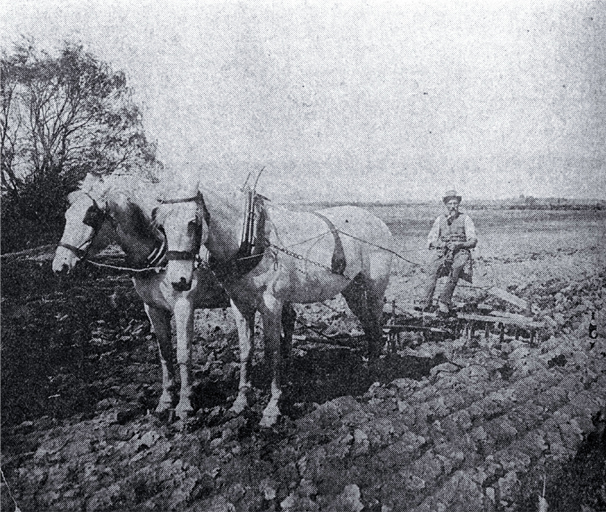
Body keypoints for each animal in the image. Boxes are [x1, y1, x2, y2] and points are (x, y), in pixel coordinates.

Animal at [53, 173, 296, 420]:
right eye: (67, 216)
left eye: (90, 217)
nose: (59, 266)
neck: (159, 257)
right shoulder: (152, 308)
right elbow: (165, 354)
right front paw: (166, 399)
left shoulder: (184, 306)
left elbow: (183, 354)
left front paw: (185, 404)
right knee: (290, 318)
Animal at [156, 182, 394, 426]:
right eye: (161, 227)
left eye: (193, 222)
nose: (178, 281)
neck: (251, 238)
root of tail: (377, 221)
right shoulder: (240, 304)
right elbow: (246, 350)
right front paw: (241, 402)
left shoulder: (272, 304)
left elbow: (273, 353)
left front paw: (272, 408)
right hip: (352, 290)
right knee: (368, 325)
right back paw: (368, 370)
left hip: (375, 290)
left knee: (376, 325)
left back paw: (376, 376)